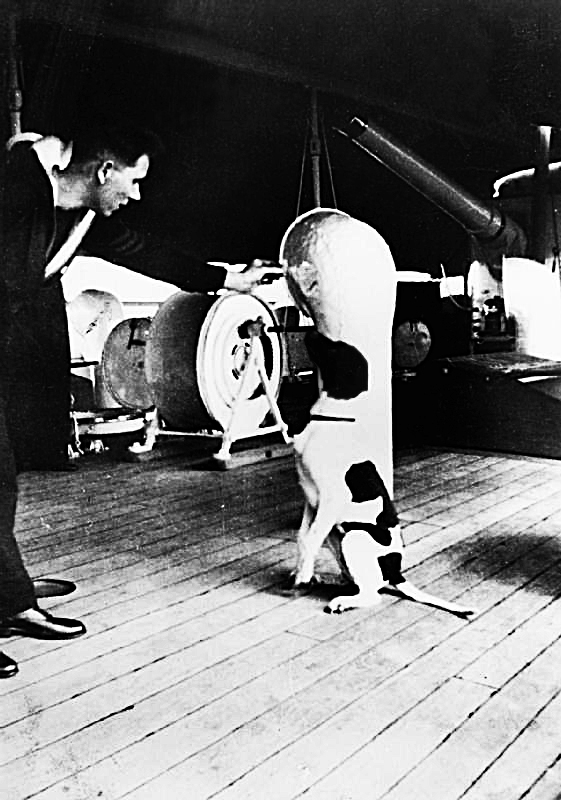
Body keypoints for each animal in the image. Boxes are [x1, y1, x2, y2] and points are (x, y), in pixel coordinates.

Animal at [290, 332, 474, 620]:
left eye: (335, 347)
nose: (306, 331)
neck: (330, 417)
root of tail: (396, 572)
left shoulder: (331, 499)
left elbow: (309, 539)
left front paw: (303, 576)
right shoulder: (312, 500)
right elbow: (303, 537)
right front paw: (303, 571)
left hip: (354, 536)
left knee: (372, 594)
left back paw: (341, 601)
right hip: (336, 537)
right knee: (357, 579)